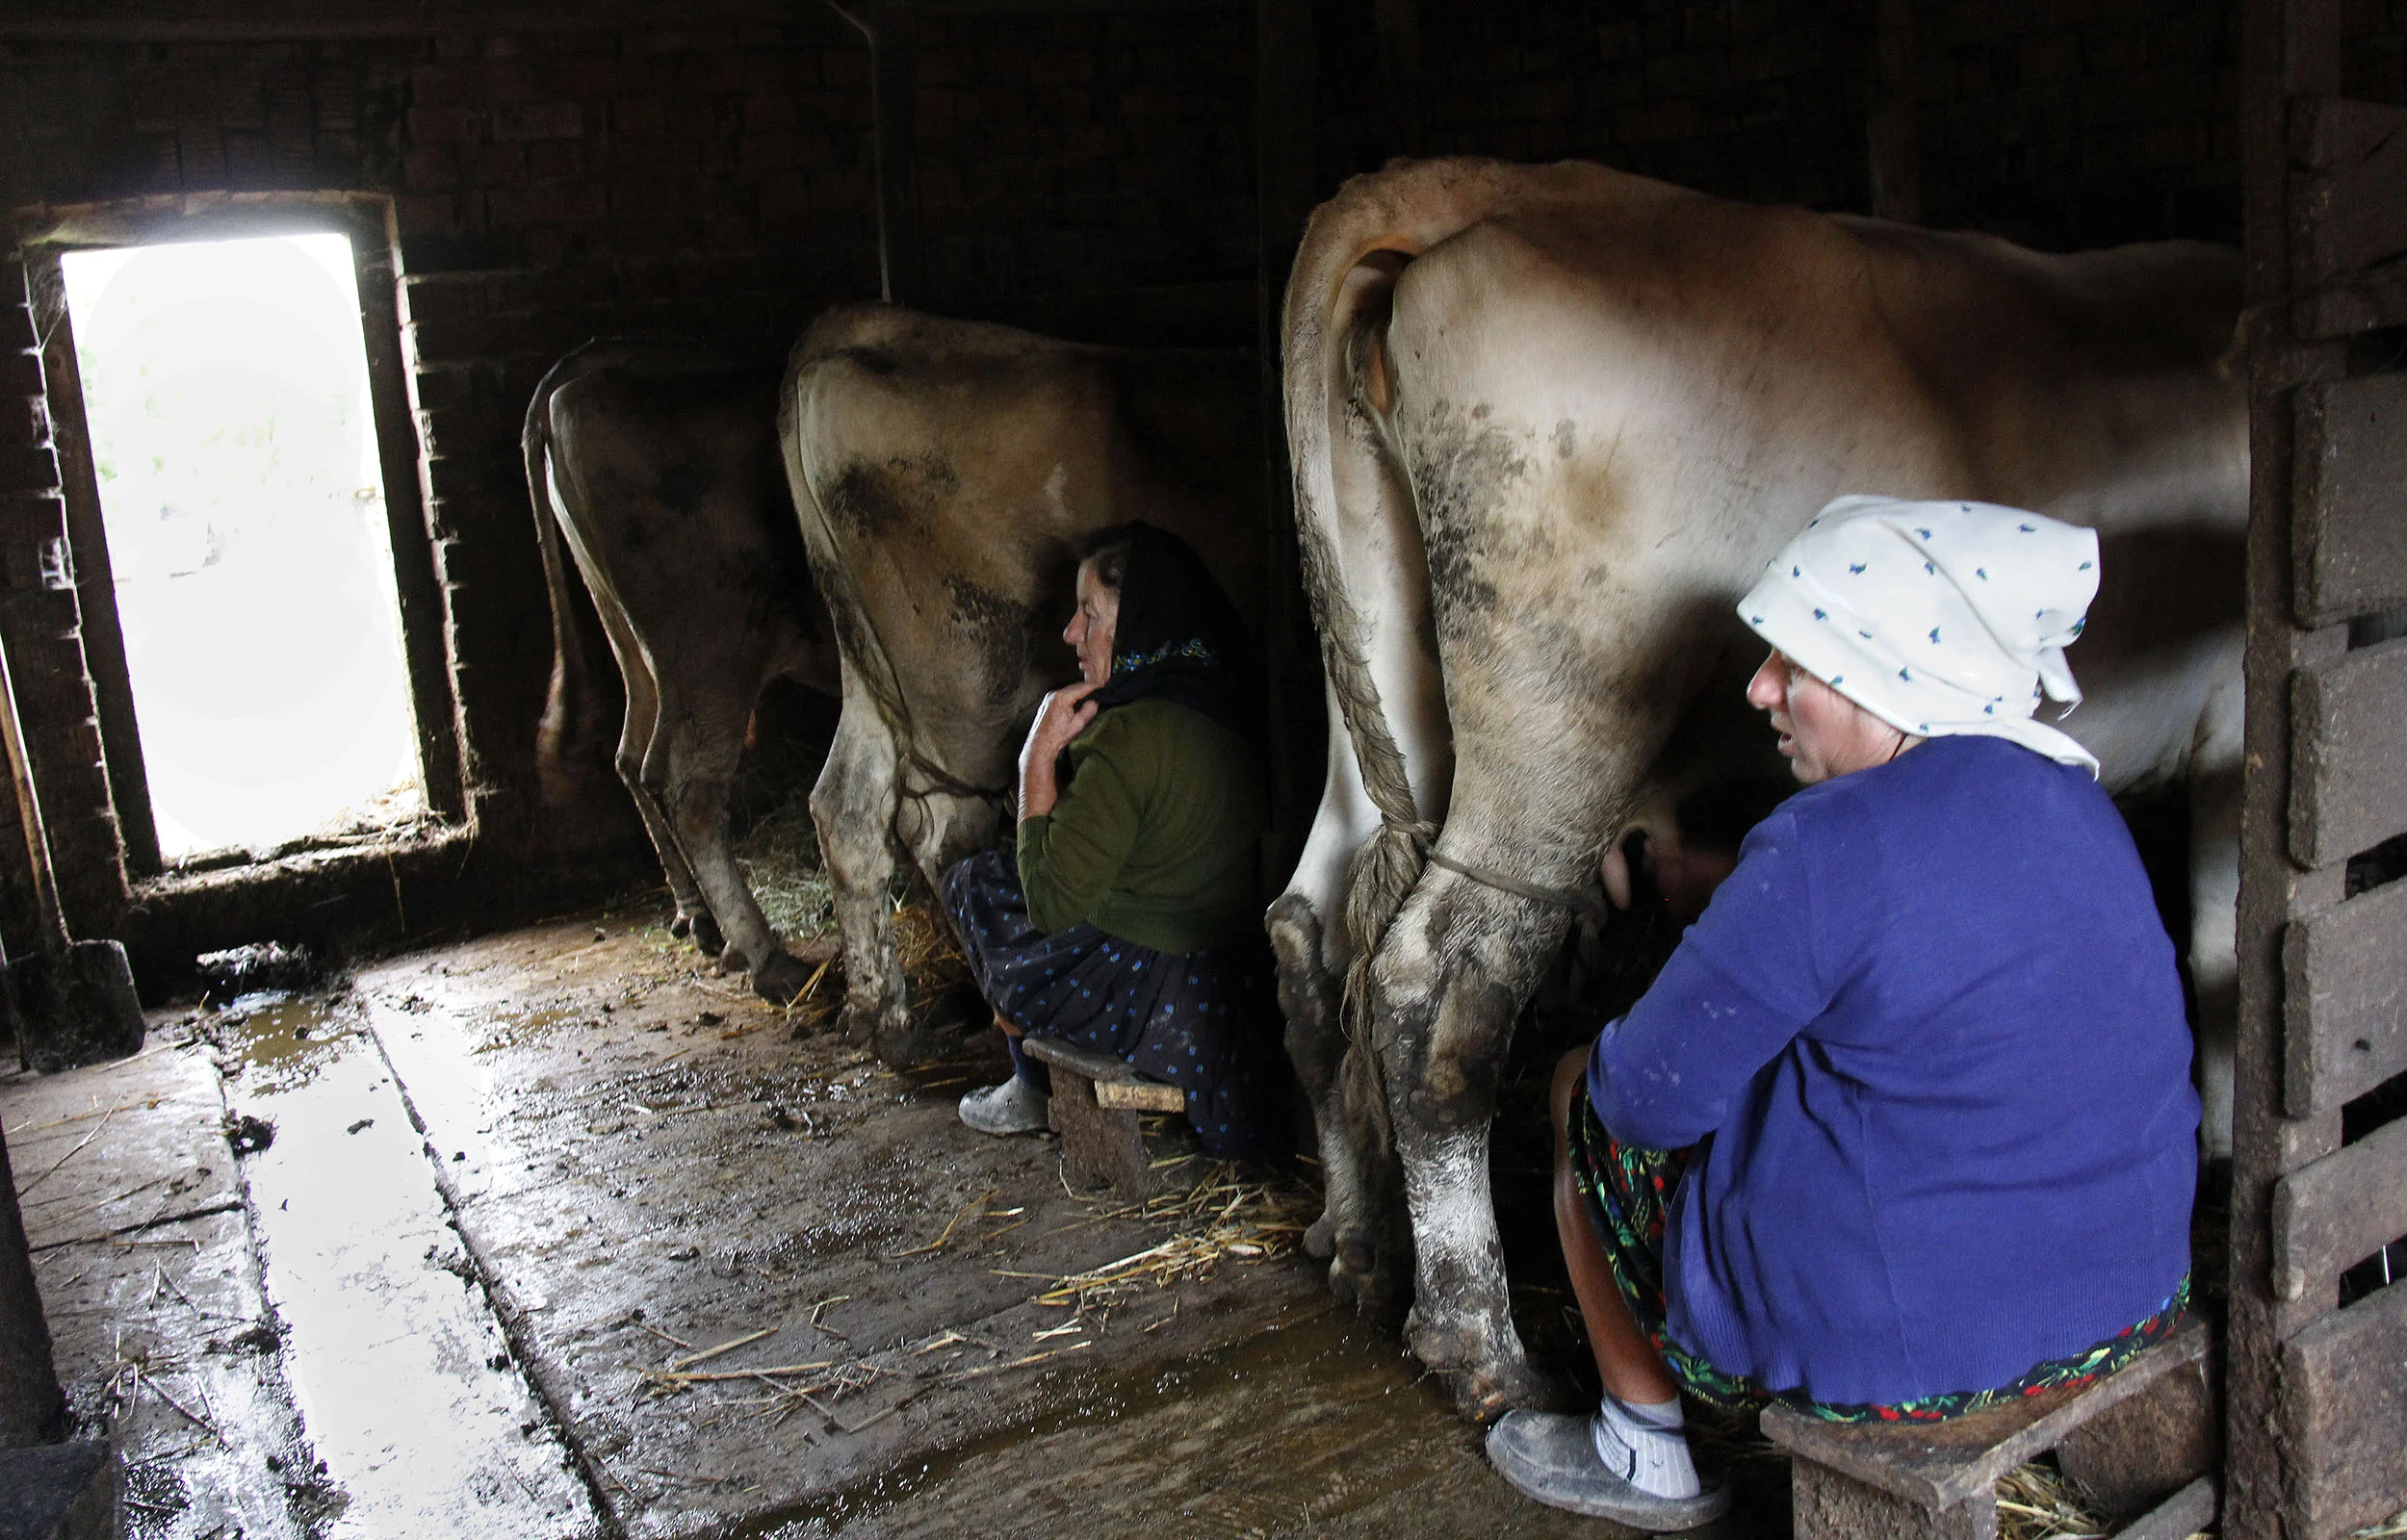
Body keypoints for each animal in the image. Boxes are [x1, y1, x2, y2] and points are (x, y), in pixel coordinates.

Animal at [526, 340, 841, 1004]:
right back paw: (767, 957)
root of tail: (582, 376)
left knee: (631, 758)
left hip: (633, 639)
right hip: (712, 648)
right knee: (686, 788)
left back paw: (700, 919)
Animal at [778, 305, 1271, 1065]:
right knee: (946, 833)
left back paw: (881, 1015)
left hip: (863, 659)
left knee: (847, 809)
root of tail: (858, 324)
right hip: (968, 691)